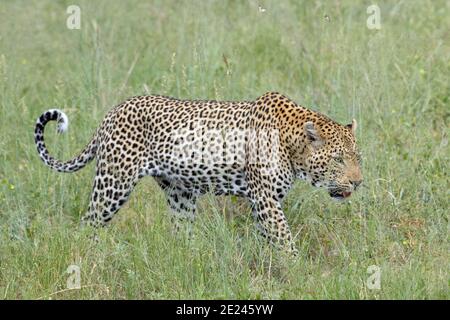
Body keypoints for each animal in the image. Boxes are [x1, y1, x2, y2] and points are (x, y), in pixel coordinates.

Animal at [34, 92, 362, 255]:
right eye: (337, 160)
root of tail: (112, 112)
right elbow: (284, 238)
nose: (357, 182)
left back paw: (191, 259)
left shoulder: (263, 202)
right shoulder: (265, 198)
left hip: (179, 193)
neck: (292, 146)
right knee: (88, 222)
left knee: (181, 232)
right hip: (114, 183)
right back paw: (85, 257)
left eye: (357, 158)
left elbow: (269, 238)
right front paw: (297, 268)